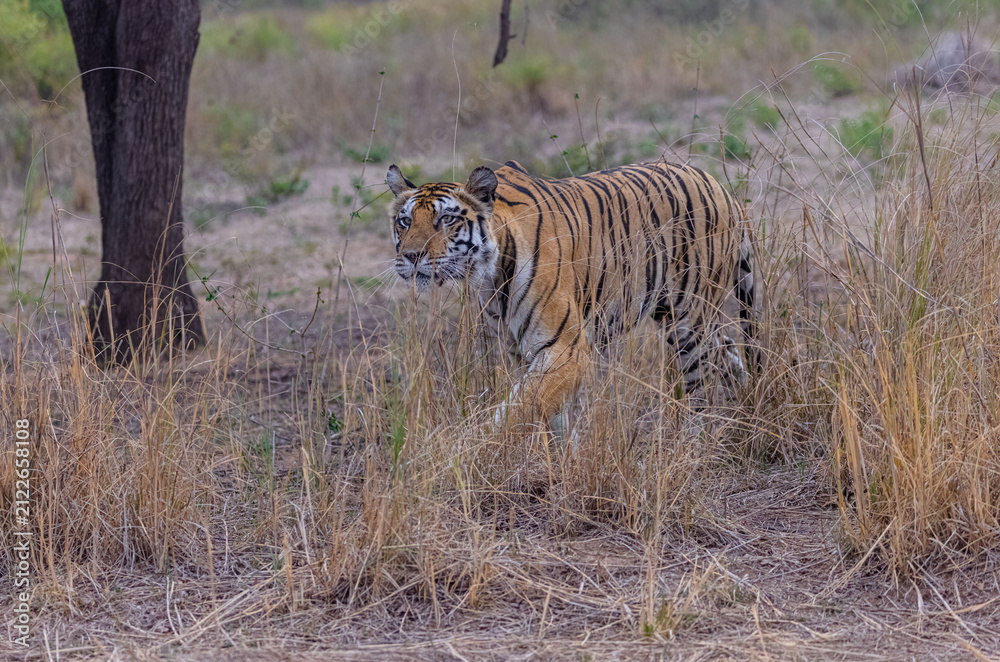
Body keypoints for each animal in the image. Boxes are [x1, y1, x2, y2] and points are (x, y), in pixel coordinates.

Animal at [386, 159, 758, 427]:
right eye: (405, 221)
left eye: (447, 220)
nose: (411, 256)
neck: (490, 276)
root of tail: (719, 186)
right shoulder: (520, 353)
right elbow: (549, 412)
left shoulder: (566, 349)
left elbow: (516, 409)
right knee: (725, 346)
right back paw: (742, 396)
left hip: (688, 319)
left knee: (701, 384)